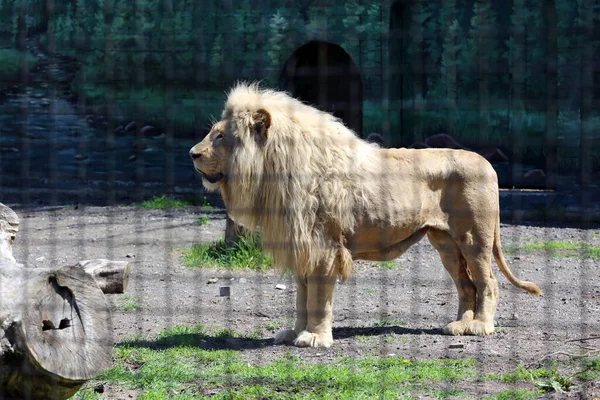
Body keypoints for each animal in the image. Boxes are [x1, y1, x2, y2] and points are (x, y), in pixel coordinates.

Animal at [190, 83, 540, 348]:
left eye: (220, 136)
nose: (192, 154)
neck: (276, 169)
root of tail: (488, 164)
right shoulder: (303, 247)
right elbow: (302, 297)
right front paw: (295, 333)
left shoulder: (324, 246)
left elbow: (318, 297)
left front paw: (315, 338)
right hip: (446, 244)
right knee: (466, 286)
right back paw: (458, 326)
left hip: (474, 239)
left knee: (488, 283)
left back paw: (480, 327)